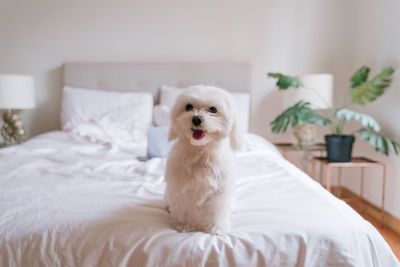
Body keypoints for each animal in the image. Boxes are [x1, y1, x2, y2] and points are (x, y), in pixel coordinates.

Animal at [165, 86, 241, 234]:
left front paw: (217, 228)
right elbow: (183, 208)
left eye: (213, 109)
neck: (200, 152)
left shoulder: (220, 191)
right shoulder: (180, 188)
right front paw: (184, 225)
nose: (196, 119)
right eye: (188, 106)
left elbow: (218, 210)